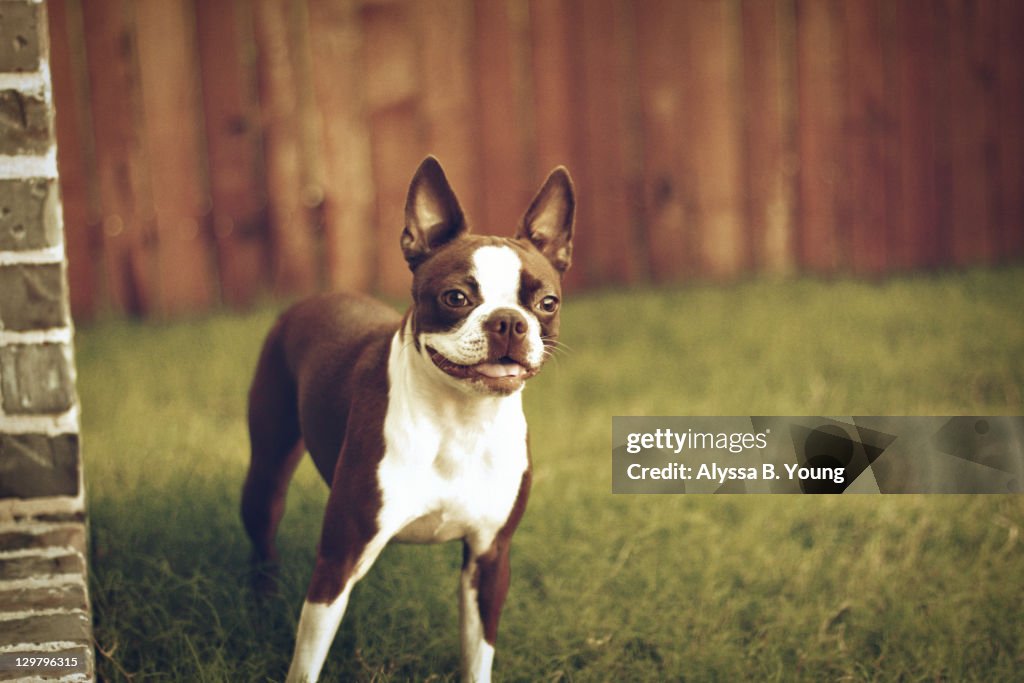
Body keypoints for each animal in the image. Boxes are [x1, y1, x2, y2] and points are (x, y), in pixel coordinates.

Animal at [241, 157, 577, 679]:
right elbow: (307, 661)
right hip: (266, 472)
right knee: (264, 534)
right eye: (456, 297)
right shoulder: (339, 558)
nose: (508, 321)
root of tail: (314, 299)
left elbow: (478, 654)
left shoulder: (489, 558)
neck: (462, 420)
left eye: (547, 304)